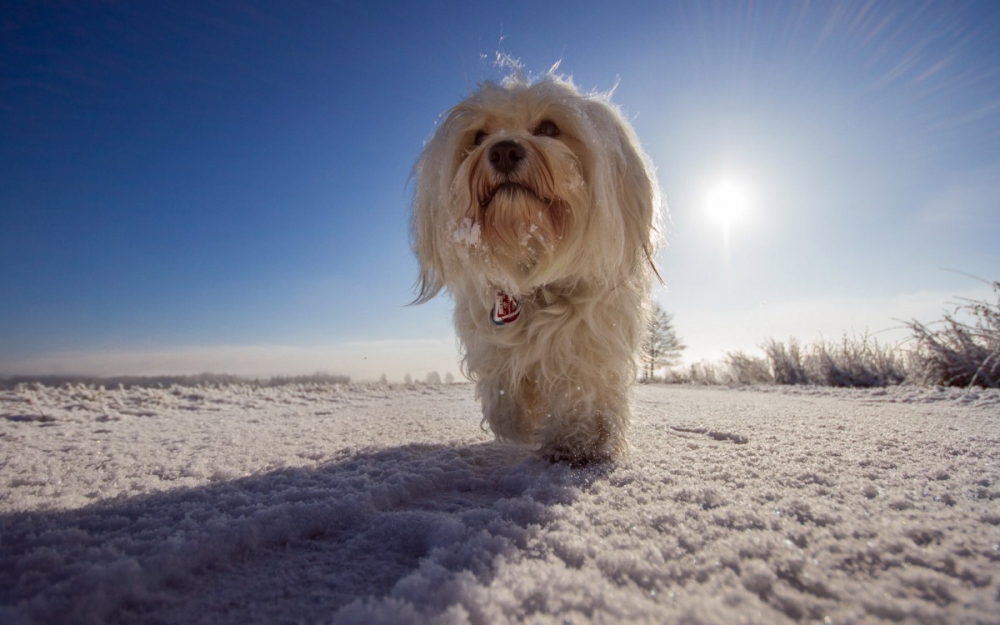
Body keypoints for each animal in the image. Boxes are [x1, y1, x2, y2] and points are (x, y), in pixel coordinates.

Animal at [410, 67, 660, 464]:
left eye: (548, 128)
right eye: (478, 136)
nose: (503, 150)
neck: (531, 270)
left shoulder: (591, 337)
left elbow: (584, 388)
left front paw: (580, 443)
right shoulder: (490, 336)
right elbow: (503, 387)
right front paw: (516, 422)